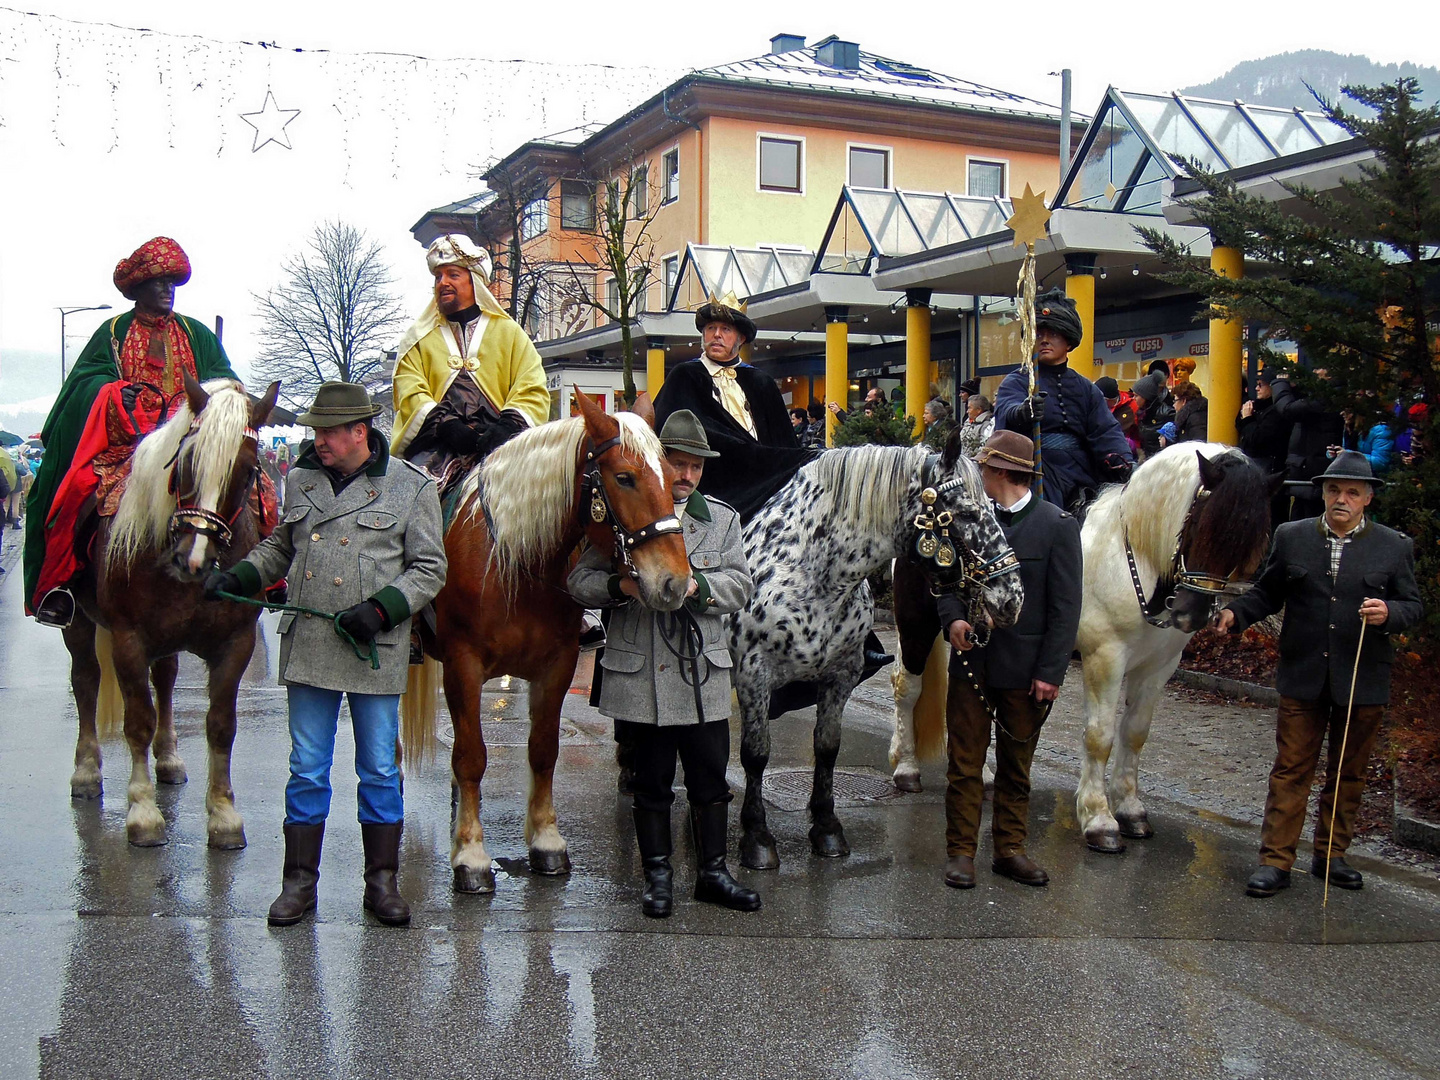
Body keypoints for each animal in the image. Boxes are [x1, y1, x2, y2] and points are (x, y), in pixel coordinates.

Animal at [66, 377, 279, 852]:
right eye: (185, 462)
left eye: (248, 471)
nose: (192, 559)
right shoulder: (128, 641)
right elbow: (137, 722)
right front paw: (143, 813)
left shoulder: (236, 644)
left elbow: (220, 725)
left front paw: (223, 815)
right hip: (77, 622)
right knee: (86, 680)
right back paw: (86, 770)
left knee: (164, 680)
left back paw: (168, 759)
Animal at [400, 388, 691, 898]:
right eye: (624, 477)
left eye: (673, 478)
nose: (674, 582)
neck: (515, 562)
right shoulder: (463, 666)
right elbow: (471, 756)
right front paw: (471, 855)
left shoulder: (557, 665)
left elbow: (543, 750)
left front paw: (546, 840)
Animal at [731, 440, 1025, 869]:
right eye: (970, 512)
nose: (1013, 597)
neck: (809, 574)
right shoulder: (754, 676)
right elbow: (755, 754)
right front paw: (756, 836)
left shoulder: (840, 676)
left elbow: (827, 747)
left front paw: (827, 827)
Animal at [1077, 443, 1278, 858]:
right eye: (1200, 524)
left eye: (1244, 547)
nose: (1191, 615)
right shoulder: (1104, 658)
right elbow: (1100, 736)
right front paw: (1098, 819)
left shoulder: (1158, 667)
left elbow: (1135, 732)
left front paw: (1129, 809)